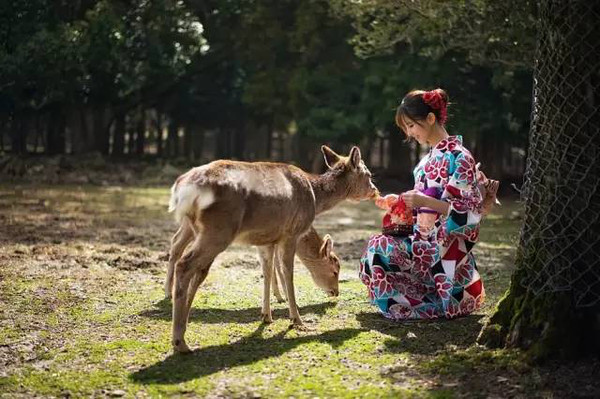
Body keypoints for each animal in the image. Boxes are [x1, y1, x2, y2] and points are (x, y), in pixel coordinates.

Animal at [166, 147, 378, 354]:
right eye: (368, 174)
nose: (375, 191)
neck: (314, 198)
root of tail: (183, 188)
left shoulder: (266, 239)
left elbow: (266, 271)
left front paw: (267, 316)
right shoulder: (290, 233)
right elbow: (288, 273)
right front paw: (298, 320)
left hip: (199, 229)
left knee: (195, 267)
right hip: (218, 230)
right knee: (185, 264)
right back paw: (180, 342)